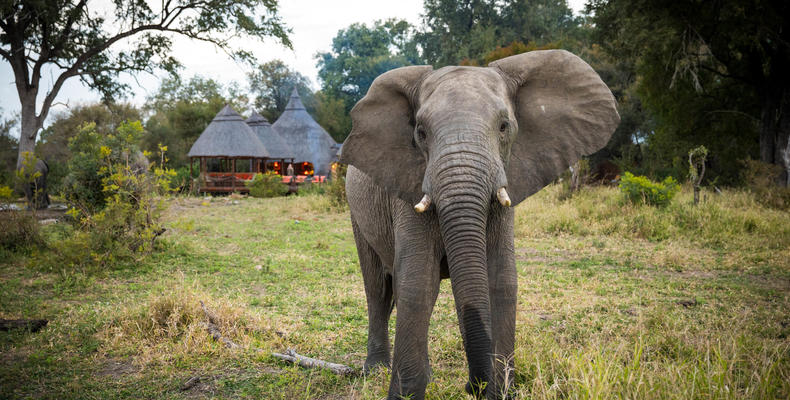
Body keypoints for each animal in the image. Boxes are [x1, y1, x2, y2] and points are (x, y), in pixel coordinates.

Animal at [344, 48, 620, 398]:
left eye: (504, 127)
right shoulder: (407, 186)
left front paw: (500, 390)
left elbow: (501, 279)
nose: (474, 385)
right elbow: (417, 281)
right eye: (420, 133)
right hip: (357, 210)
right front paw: (406, 394)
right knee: (378, 287)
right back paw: (376, 369)